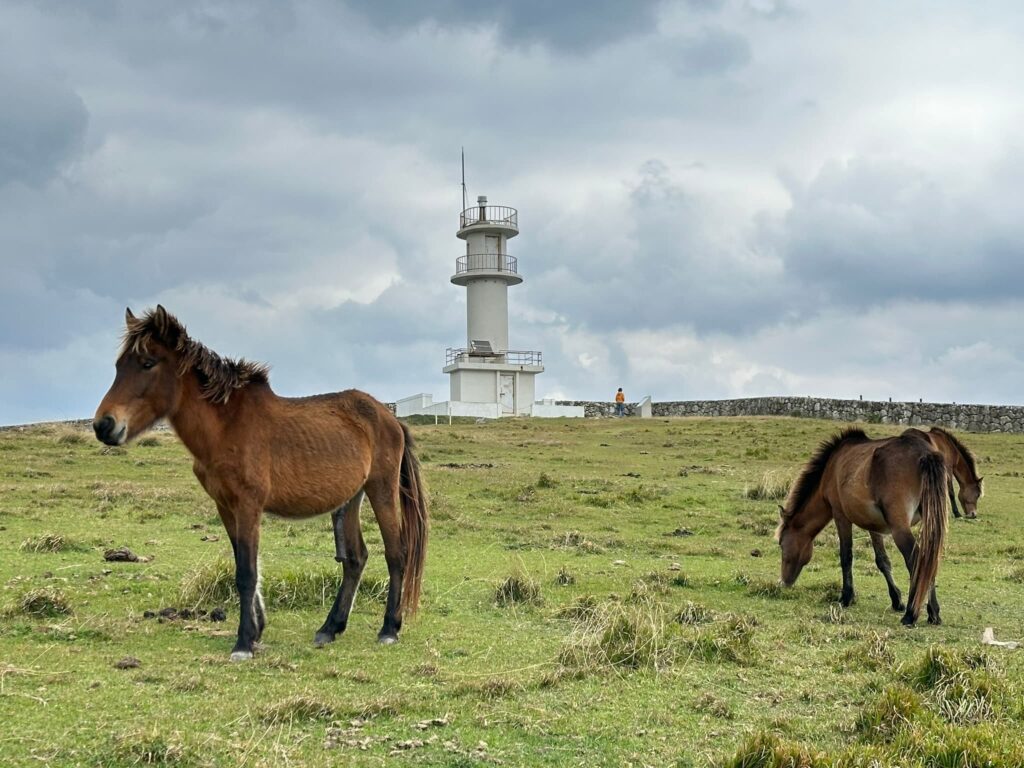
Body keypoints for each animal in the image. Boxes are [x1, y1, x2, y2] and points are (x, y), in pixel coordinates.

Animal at [93, 309, 428, 663]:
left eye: (147, 363)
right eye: (119, 365)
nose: (104, 425)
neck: (226, 427)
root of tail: (390, 418)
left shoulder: (248, 505)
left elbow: (247, 573)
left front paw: (243, 643)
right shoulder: (226, 507)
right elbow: (243, 565)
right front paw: (255, 630)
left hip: (382, 490)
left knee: (396, 553)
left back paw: (389, 629)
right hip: (351, 498)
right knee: (355, 559)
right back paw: (330, 628)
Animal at [778, 430, 946, 626]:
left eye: (781, 544)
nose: (783, 582)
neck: (832, 468)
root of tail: (924, 453)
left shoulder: (840, 517)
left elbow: (846, 557)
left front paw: (846, 597)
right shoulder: (874, 525)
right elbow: (882, 561)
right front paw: (896, 600)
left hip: (899, 528)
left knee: (917, 560)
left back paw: (911, 614)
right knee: (929, 560)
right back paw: (933, 612)